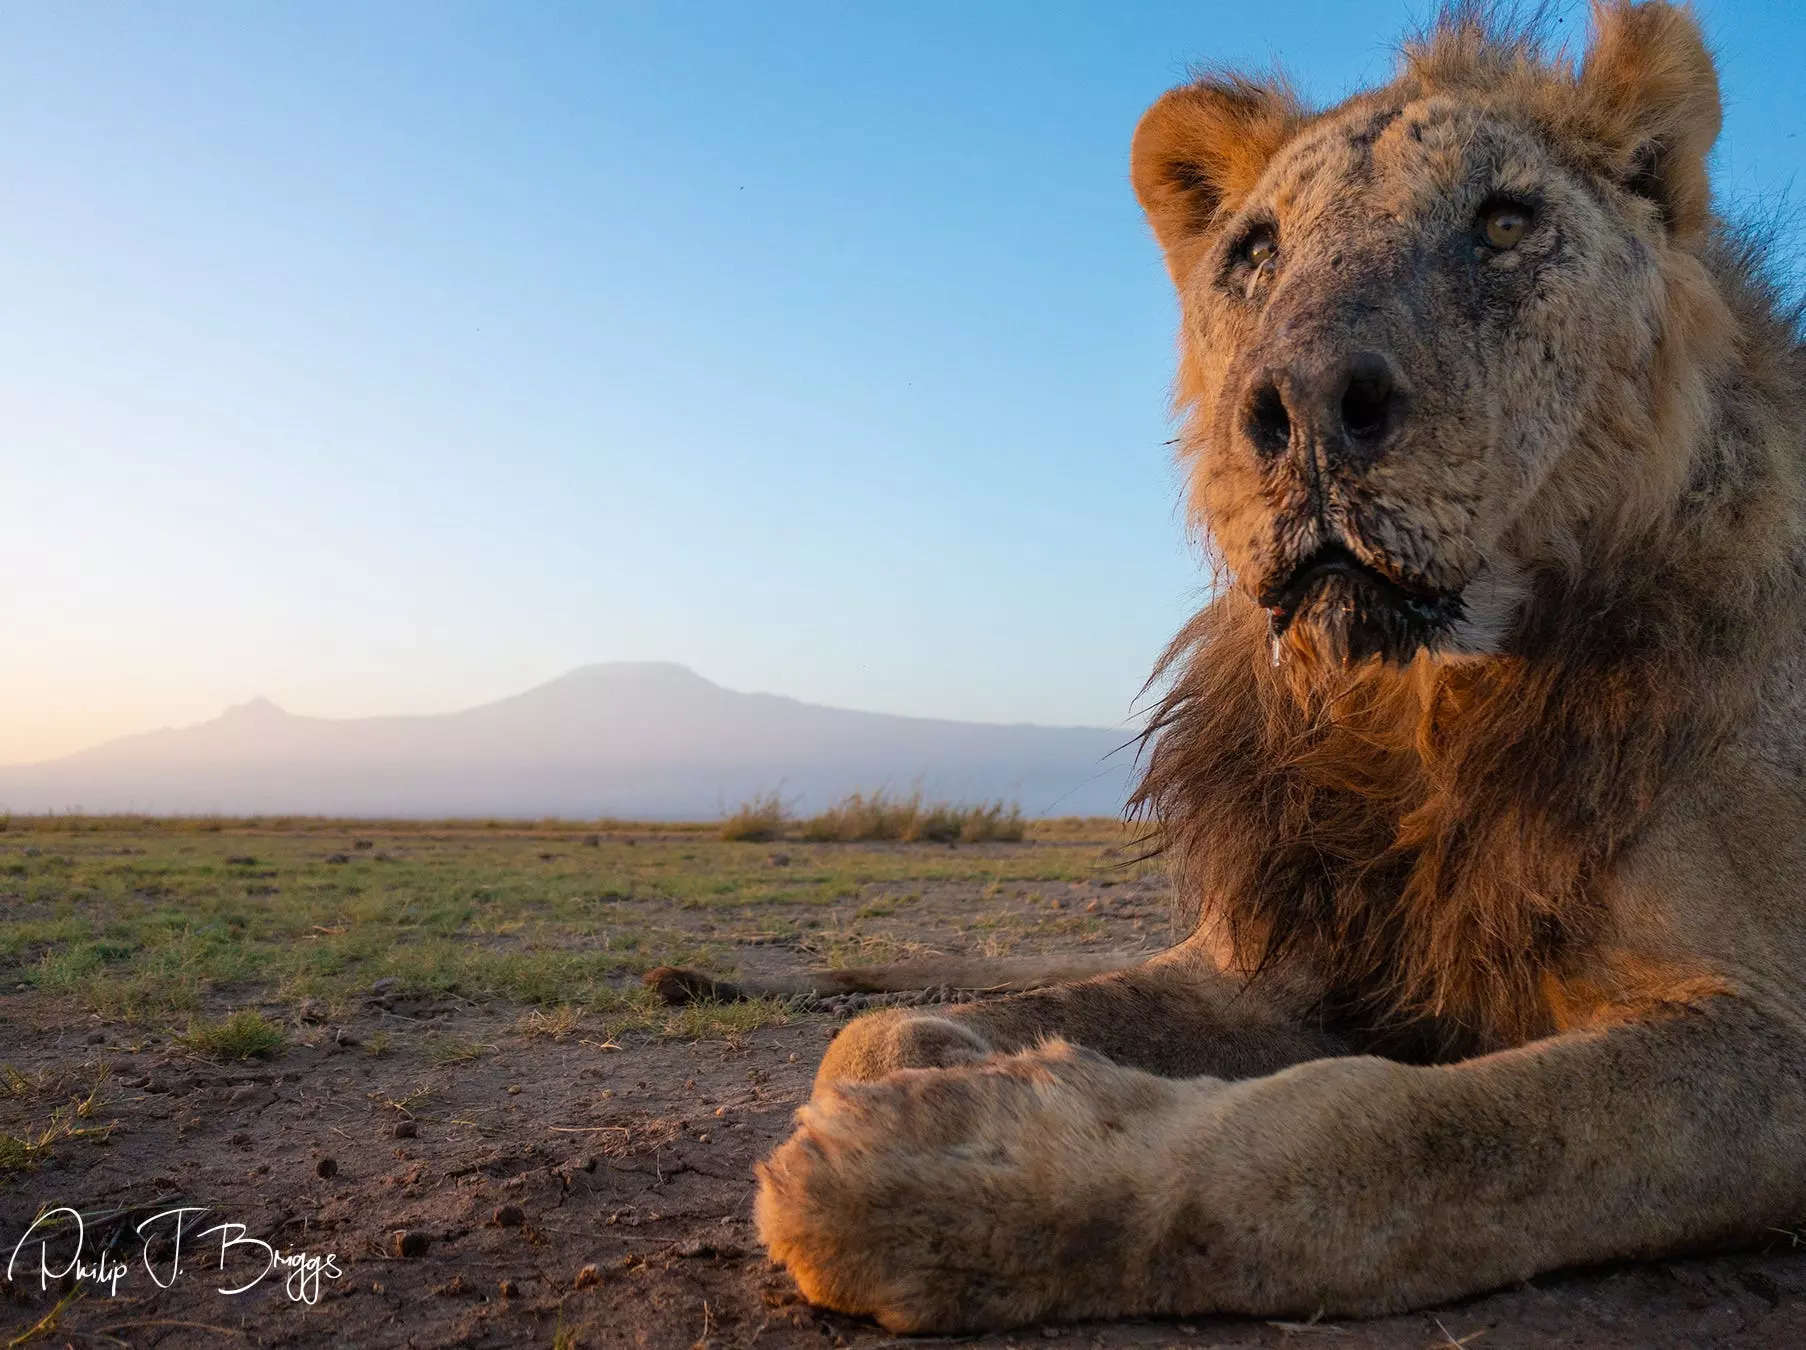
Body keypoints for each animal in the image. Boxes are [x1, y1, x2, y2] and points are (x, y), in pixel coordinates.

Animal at [657, 0, 1806, 1328]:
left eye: (1507, 223)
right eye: (1256, 253)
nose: (1302, 404)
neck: (1415, 706)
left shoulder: (1768, 1035)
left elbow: (1388, 1137)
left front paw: (949, 1171)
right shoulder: (1284, 958)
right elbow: (891, 1032)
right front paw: (948, 1058)